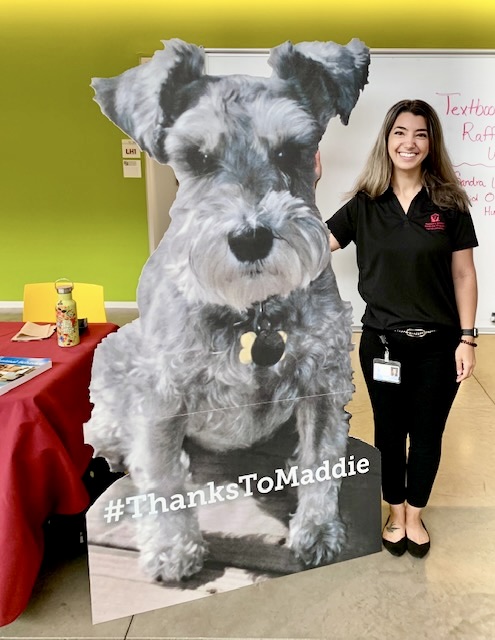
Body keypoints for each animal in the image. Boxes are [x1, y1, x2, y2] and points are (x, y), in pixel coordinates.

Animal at [87, 37, 370, 584]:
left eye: (291, 150)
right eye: (194, 157)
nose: (251, 238)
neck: (253, 310)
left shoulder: (323, 382)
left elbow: (321, 459)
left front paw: (317, 530)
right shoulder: (161, 395)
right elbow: (163, 476)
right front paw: (172, 551)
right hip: (115, 364)